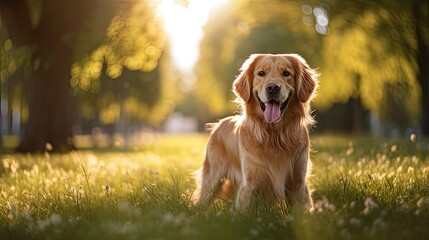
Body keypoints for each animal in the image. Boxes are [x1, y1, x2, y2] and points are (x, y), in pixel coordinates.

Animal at [194, 53, 318, 211]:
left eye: (286, 73)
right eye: (261, 73)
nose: (272, 88)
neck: (275, 136)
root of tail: (219, 123)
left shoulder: (298, 183)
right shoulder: (250, 183)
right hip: (212, 178)